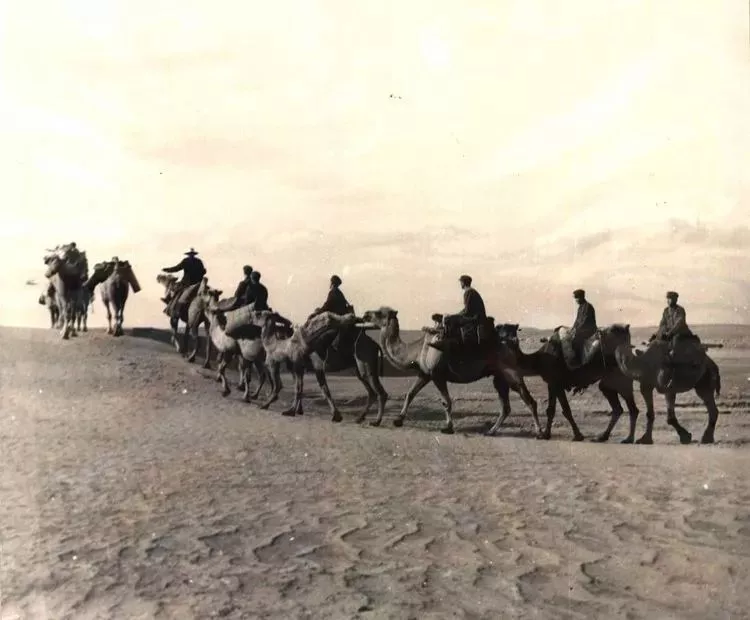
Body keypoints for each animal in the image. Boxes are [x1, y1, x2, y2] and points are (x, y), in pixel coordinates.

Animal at [360, 307, 541, 435]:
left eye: (379, 312)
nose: (365, 314)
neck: (417, 350)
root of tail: (513, 341)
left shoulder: (437, 375)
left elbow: (445, 401)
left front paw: (448, 427)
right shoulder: (425, 374)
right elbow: (410, 394)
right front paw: (398, 420)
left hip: (510, 372)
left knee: (529, 400)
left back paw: (540, 433)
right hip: (499, 377)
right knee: (506, 407)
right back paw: (490, 431)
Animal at [493, 323, 640, 442]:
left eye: (514, 331)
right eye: (503, 332)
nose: (513, 340)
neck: (539, 359)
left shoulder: (557, 383)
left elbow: (565, 410)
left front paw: (577, 435)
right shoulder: (552, 383)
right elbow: (551, 410)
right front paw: (546, 434)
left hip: (621, 376)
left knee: (631, 408)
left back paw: (628, 438)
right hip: (610, 380)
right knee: (618, 407)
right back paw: (602, 437)